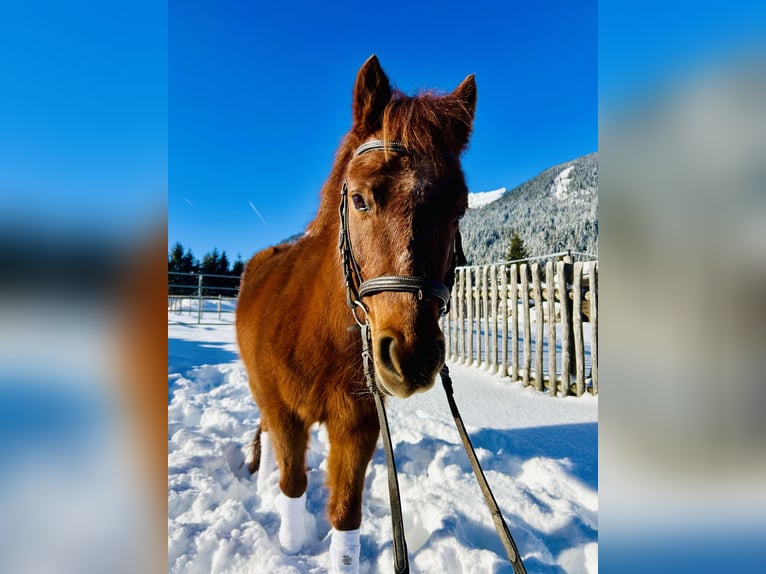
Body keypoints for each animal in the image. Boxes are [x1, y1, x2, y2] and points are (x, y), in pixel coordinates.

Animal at [237, 55, 476, 574]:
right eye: (361, 198)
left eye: (459, 209)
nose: (412, 354)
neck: (316, 334)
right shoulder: (285, 414)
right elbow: (293, 483)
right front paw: (291, 545)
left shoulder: (358, 425)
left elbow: (346, 514)